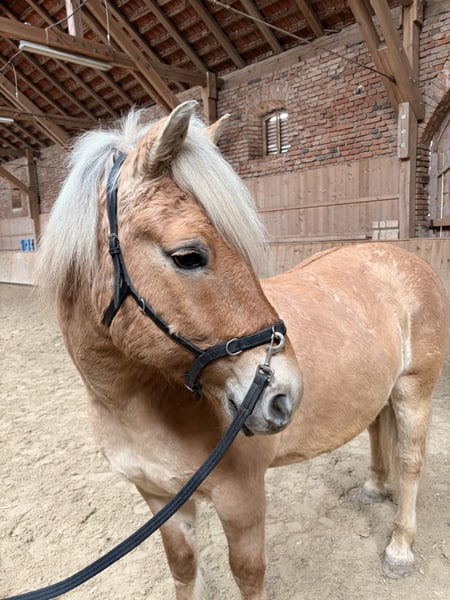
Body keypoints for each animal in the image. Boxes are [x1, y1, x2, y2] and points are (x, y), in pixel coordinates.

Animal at [36, 100, 450, 600]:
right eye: (188, 256)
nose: (284, 394)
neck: (133, 402)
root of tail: (407, 260)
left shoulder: (242, 500)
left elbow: (248, 574)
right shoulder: (160, 500)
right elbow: (183, 568)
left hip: (415, 390)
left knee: (410, 462)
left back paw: (399, 549)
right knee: (375, 430)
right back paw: (373, 488)